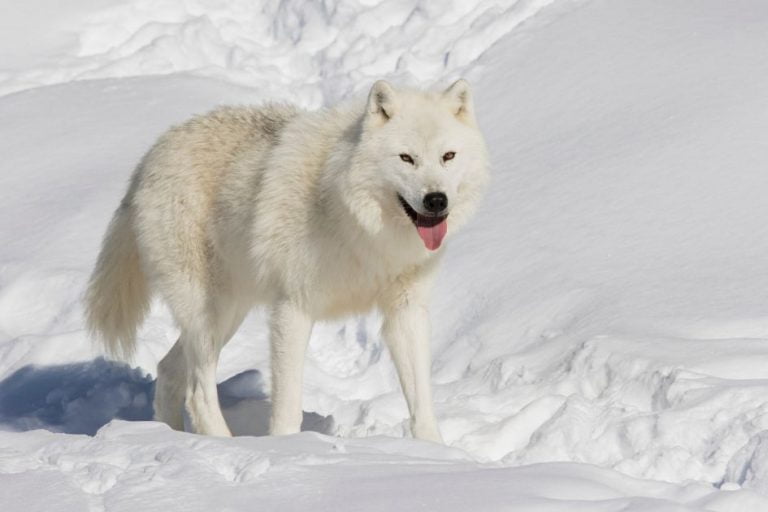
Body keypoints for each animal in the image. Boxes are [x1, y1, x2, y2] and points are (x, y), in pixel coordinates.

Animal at [84, 79, 489, 442]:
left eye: (448, 157)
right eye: (407, 158)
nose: (436, 200)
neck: (362, 228)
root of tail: (150, 156)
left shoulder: (406, 311)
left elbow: (421, 404)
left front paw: (434, 452)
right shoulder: (292, 309)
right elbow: (288, 404)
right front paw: (287, 450)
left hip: (229, 313)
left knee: (168, 370)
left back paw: (171, 438)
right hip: (211, 314)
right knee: (198, 390)